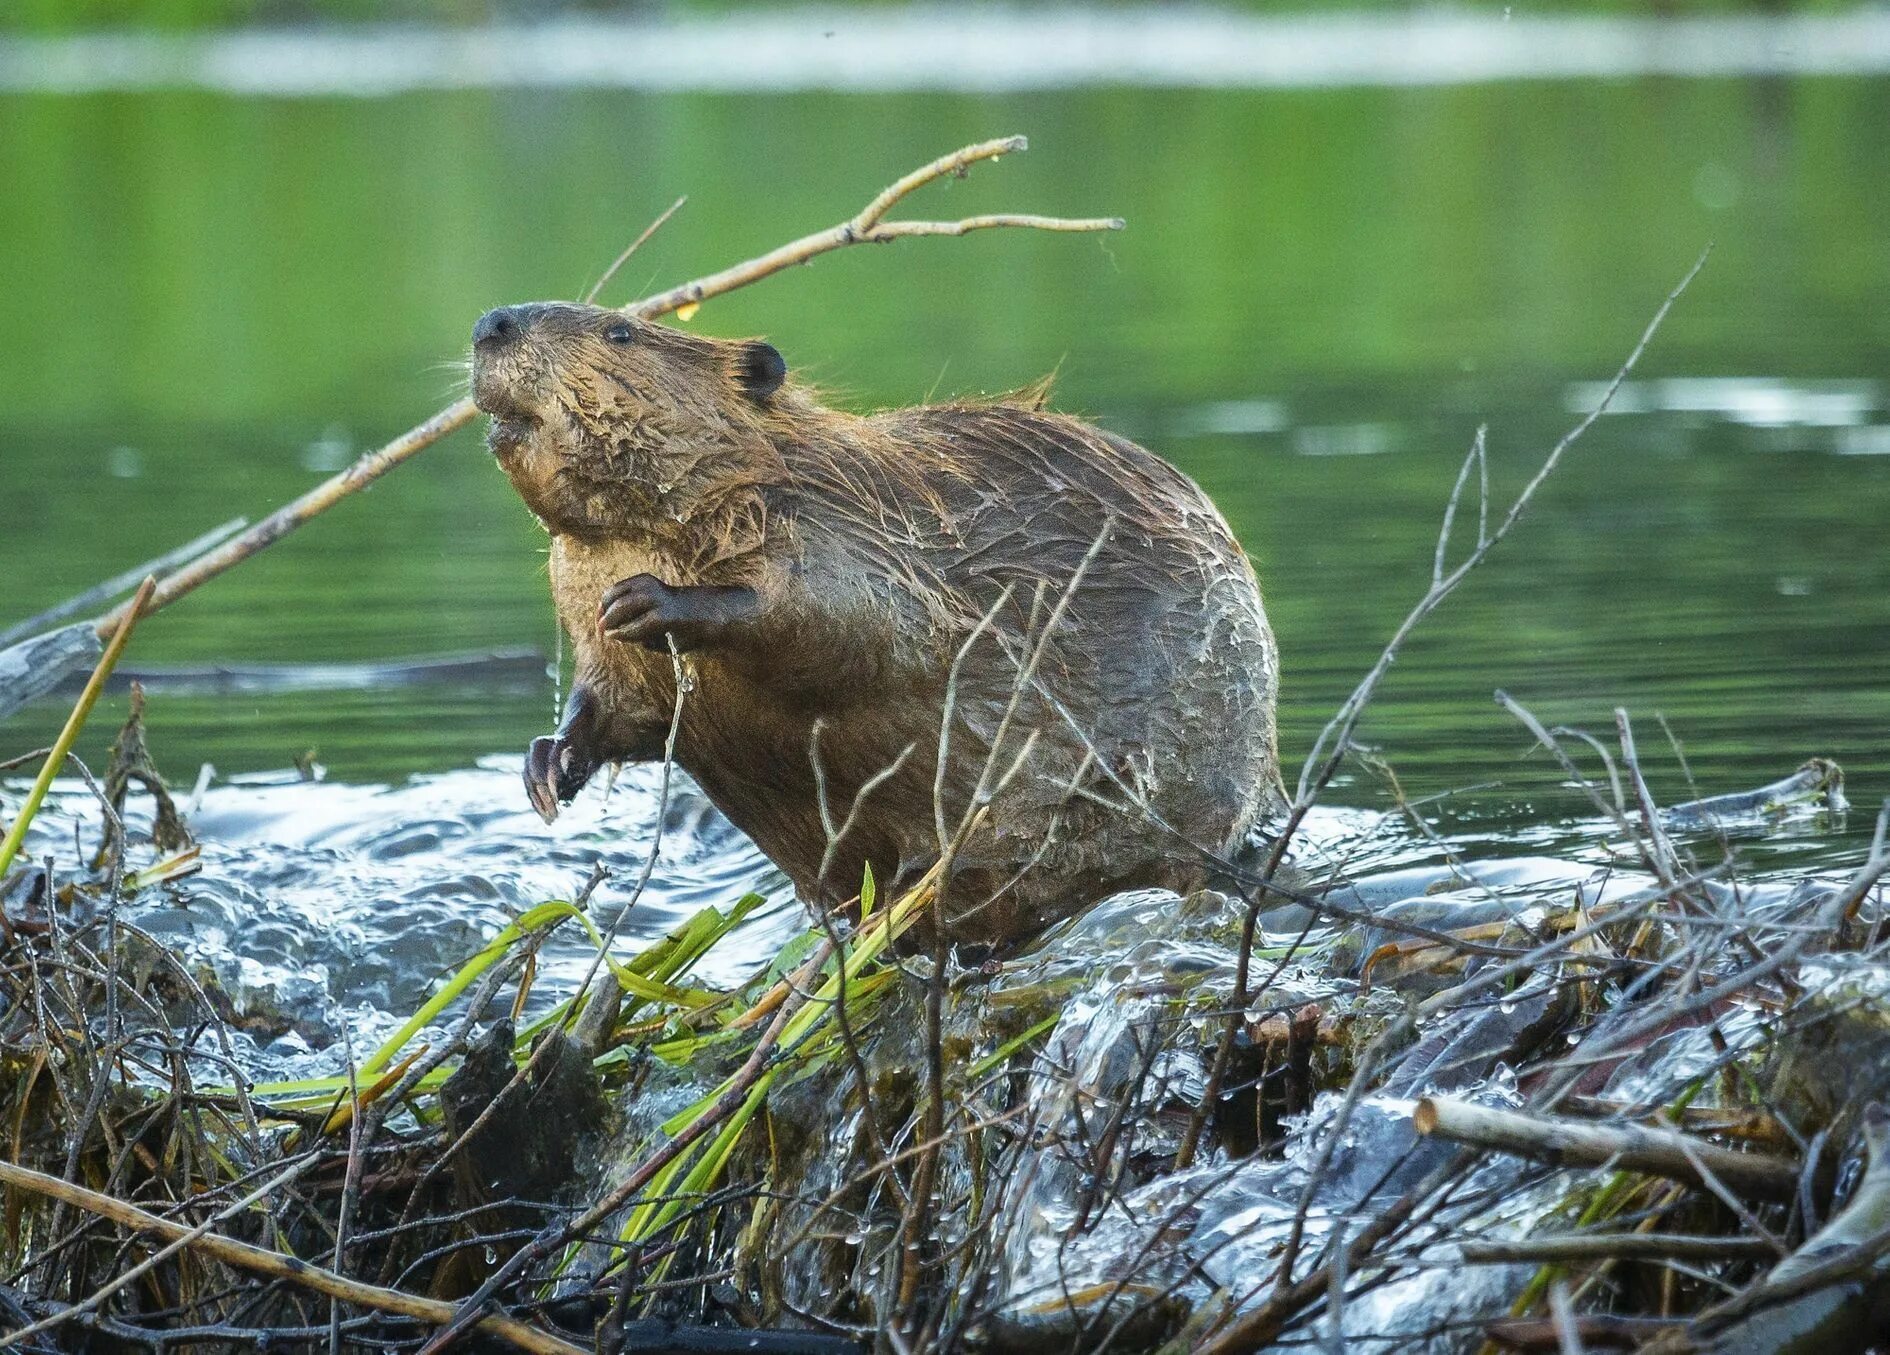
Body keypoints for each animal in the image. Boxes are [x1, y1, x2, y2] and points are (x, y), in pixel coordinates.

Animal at [468, 302, 1285, 944]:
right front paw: (547, 766)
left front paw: (649, 601)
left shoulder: (842, 526)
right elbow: (618, 703)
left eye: (620, 332)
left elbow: (848, 621)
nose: (491, 323)